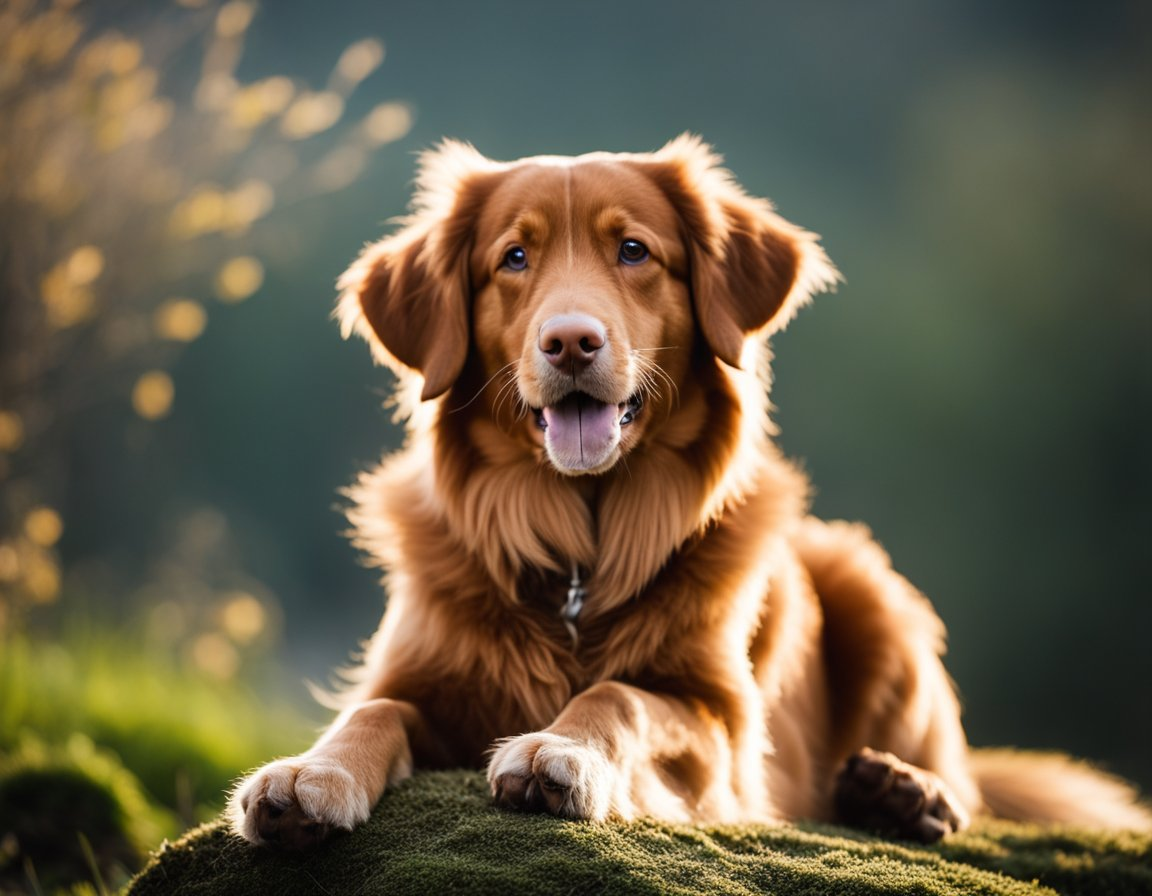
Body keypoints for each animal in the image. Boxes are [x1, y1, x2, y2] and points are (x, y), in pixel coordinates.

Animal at [226, 137, 1152, 843]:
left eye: (634, 251)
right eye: (513, 258)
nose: (571, 342)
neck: (582, 543)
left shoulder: (716, 728)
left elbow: (621, 696)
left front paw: (561, 752)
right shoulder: (416, 682)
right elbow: (370, 712)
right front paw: (311, 773)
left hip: (870, 584)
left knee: (965, 783)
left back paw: (905, 793)